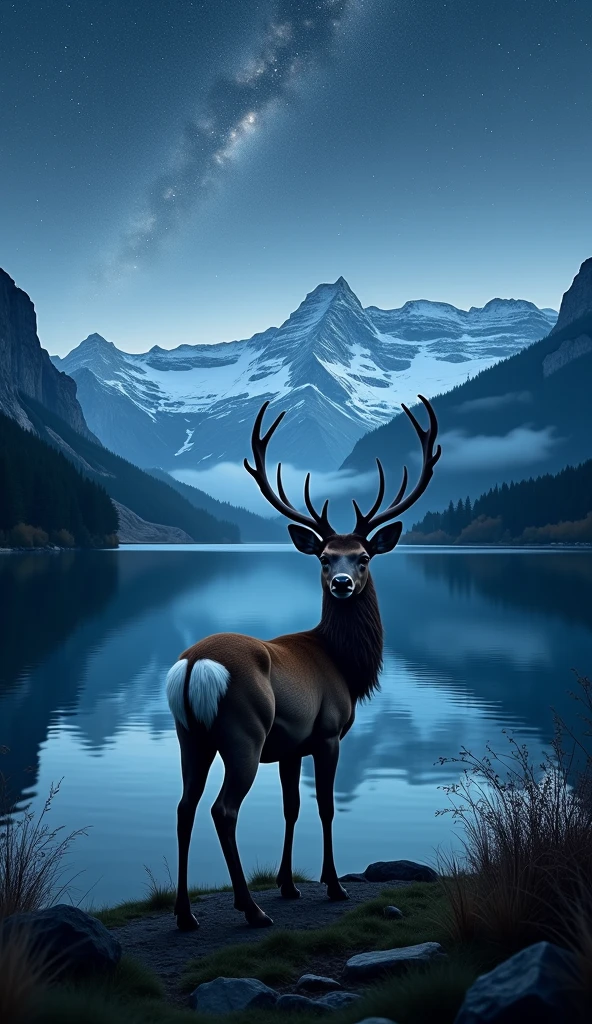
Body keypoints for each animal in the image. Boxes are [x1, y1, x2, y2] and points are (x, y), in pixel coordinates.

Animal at [166, 395, 441, 931]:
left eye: (362, 557)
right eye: (324, 557)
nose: (341, 584)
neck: (345, 667)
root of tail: (195, 666)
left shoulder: (291, 743)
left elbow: (291, 808)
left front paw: (289, 885)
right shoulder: (328, 731)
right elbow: (326, 808)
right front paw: (332, 886)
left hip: (191, 736)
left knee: (185, 807)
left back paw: (186, 915)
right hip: (243, 734)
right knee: (222, 810)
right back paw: (249, 910)